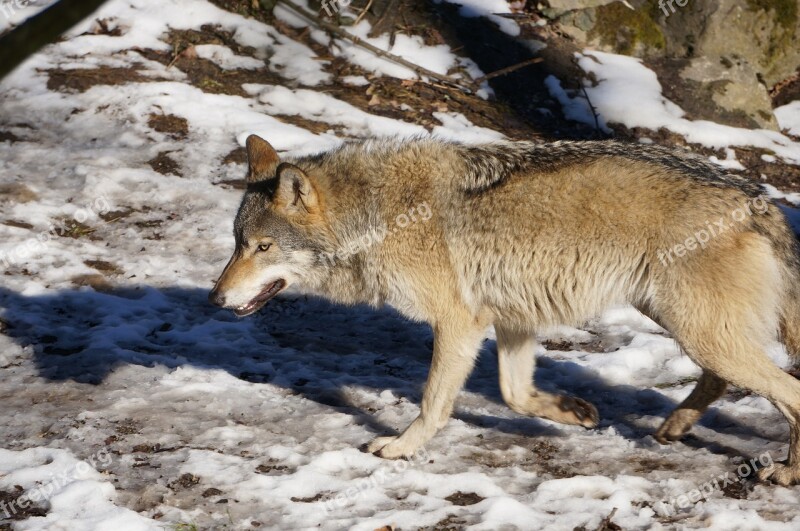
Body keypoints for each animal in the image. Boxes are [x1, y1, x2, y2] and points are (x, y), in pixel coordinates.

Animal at [209, 134, 800, 486]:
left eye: (263, 248)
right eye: (238, 243)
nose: (214, 299)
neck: (376, 215)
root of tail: (761, 201)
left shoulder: (459, 323)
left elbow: (433, 403)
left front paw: (401, 447)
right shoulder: (513, 319)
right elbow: (516, 394)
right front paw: (571, 412)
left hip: (696, 330)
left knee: (785, 390)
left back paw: (788, 473)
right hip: (684, 324)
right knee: (728, 381)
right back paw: (675, 426)